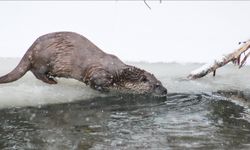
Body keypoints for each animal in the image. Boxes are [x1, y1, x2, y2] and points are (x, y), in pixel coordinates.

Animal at [0, 31, 168, 95]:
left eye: (161, 82)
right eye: (156, 85)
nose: (166, 90)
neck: (118, 73)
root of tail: (31, 48)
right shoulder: (99, 74)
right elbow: (94, 83)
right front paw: (105, 90)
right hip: (44, 59)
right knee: (37, 72)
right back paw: (52, 81)